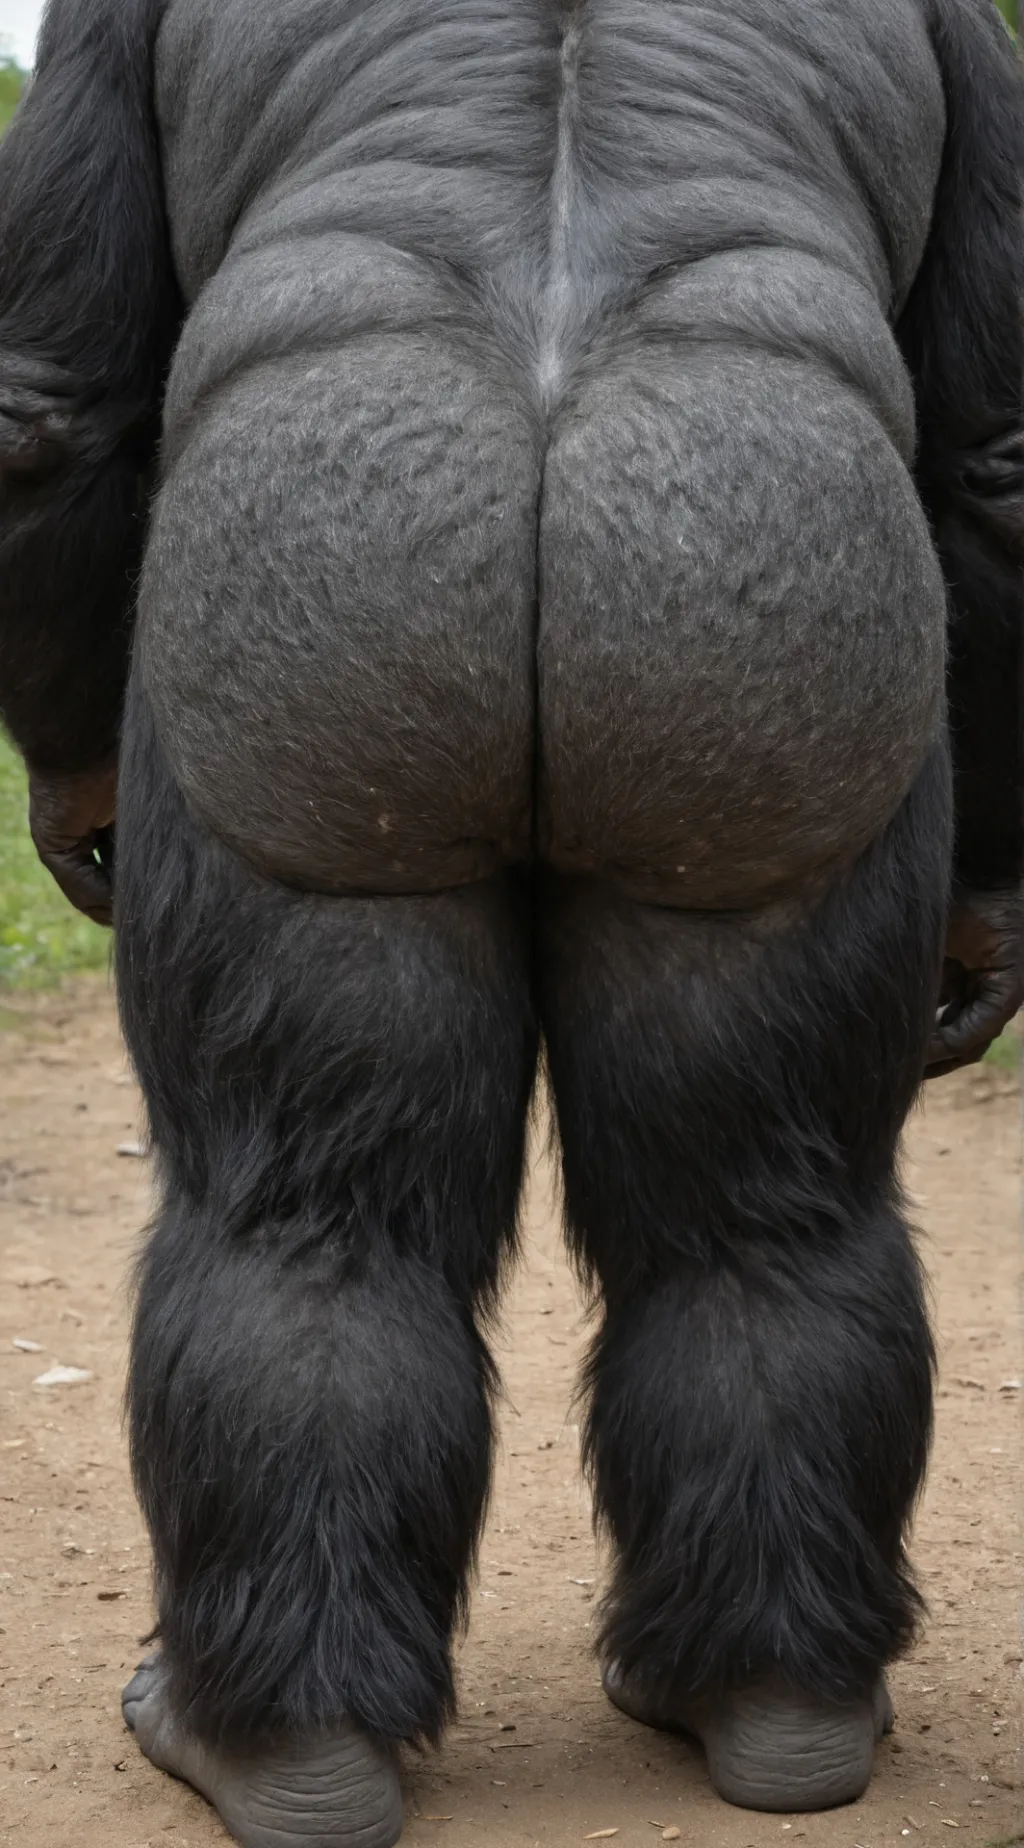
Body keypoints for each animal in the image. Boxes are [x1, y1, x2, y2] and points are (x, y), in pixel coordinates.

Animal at [0, 1, 1020, 1841]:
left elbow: (47, 403)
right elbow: (999, 455)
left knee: (299, 1220)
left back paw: (256, 1736)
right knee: (751, 1222)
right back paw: (767, 1704)